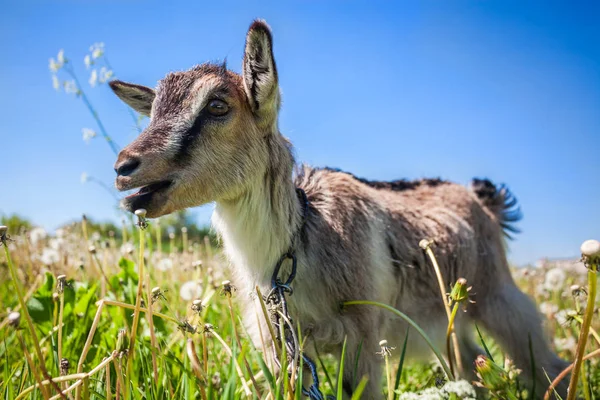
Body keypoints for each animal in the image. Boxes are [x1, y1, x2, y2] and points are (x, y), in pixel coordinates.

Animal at [111, 19, 568, 400]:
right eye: (152, 111)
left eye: (218, 105)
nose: (123, 168)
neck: (297, 245)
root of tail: (484, 200)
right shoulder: (280, 344)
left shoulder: (363, 338)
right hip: (445, 319)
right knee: (470, 364)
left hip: (497, 295)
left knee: (544, 359)